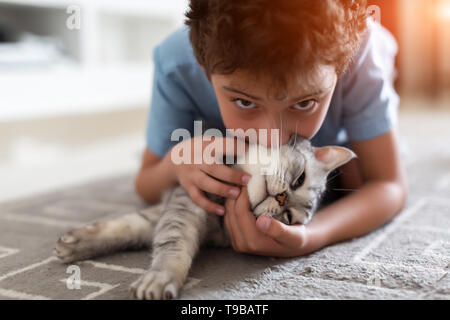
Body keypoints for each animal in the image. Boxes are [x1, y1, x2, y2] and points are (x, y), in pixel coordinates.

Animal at [53, 135, 356, 300]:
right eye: (299, 179)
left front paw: (159, 279)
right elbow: (135, 226)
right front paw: (77, 243)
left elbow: (157, 238)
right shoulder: (184, 199)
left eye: (289, 218)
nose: (282, 200)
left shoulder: (178, 212)